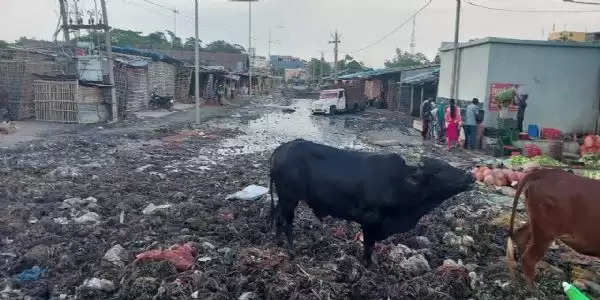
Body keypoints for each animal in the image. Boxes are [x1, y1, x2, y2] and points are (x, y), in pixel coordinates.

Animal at [268, 139, 474, 264]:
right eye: (439, 171)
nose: (470, 176)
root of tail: (281, 149)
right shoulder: (370, 221)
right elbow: (368, 246)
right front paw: (368, 265)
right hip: (289, 198)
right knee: (287, 222)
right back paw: (291, 249)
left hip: (283, 199)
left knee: (278, 218)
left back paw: (278, 242)